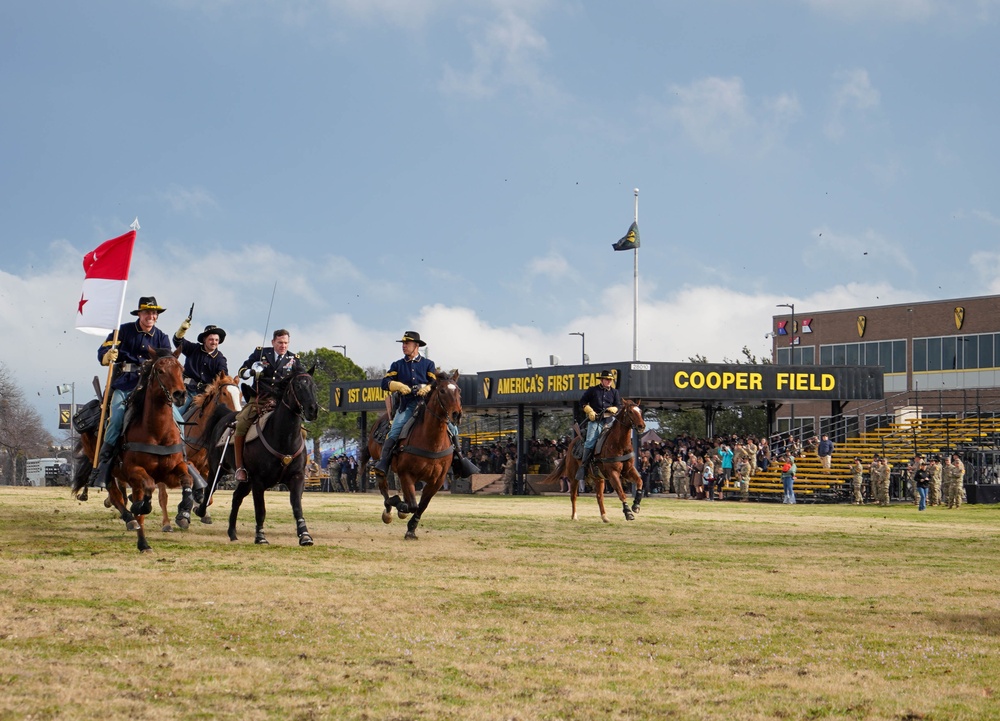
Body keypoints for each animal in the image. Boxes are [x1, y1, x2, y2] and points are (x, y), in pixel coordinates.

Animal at [73, 348, 192, 552]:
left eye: (181, 370)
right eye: (160, 371)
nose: (179, 395)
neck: (157, 432)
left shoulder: (172, 470)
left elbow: (187, 479)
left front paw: (184, 512)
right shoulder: (133, 471)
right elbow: (148, 489)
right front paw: (140, 507)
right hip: (106, 469)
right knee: (116, 497)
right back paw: (134, 526)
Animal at [155, 374, 243, 532]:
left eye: (239, 395)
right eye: (224, 393)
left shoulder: (208, 468)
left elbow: (208, 494)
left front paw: (199, 510)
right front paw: (183, 515)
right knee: (162, 496)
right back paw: (166, 523)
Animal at [200, 368, 316, 544]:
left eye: (313, 386)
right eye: (297, 386)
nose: (313, 409)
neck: (282, 438)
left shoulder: (297, 477)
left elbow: (297, 506)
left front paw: (305, 535)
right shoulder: (258, 481)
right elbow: (260, 509)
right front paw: (260, 537)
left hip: (245, 481)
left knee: (236, 497)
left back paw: (232, 533)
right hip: (217, 469)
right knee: (209, 489)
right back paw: (200, 511)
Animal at [362, 372, 462, 536]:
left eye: (458, 390)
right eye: (442, 391)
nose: (456, 414)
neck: (432, 442)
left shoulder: (437, 481)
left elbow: (421, 505)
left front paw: (411, 529)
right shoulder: (407, 474)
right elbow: (413, 505)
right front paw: (400, 505)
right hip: (379, 464)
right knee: (384, 487)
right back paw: (389, 510)